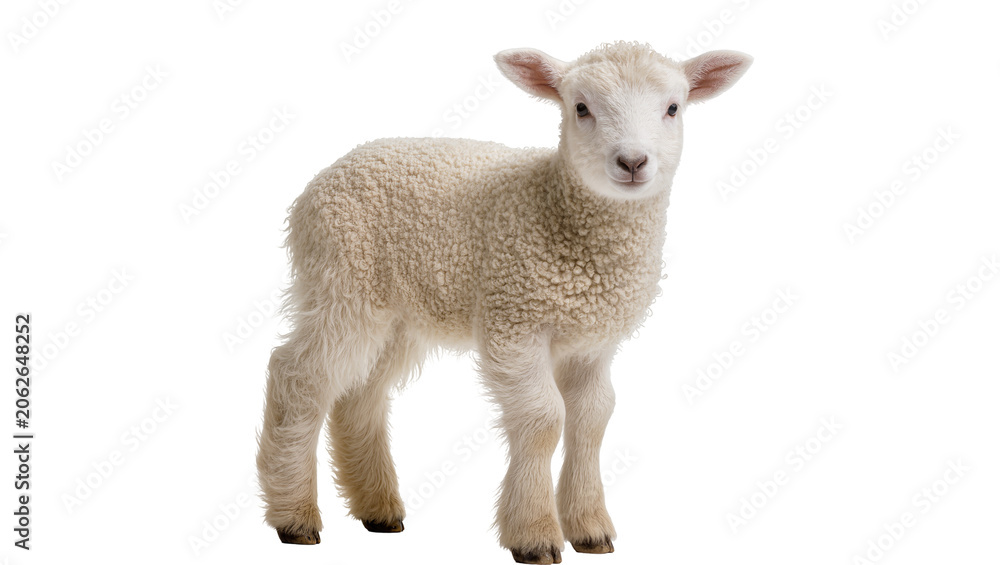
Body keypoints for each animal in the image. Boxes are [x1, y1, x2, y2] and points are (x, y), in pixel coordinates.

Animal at [256, 41, 752, 564]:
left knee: (360, 394)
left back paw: (379, 509)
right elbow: (543, 419)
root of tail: (325, 177)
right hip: (342, 281)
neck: (556, 207)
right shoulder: (515, 320)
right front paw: (534, 533)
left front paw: (590, 528)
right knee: (298, 377)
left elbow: (593, 419)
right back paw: (294, 517)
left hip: (400, 312)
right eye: (581, 108)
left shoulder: (592, 340)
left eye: (673, 108)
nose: (633, 162)